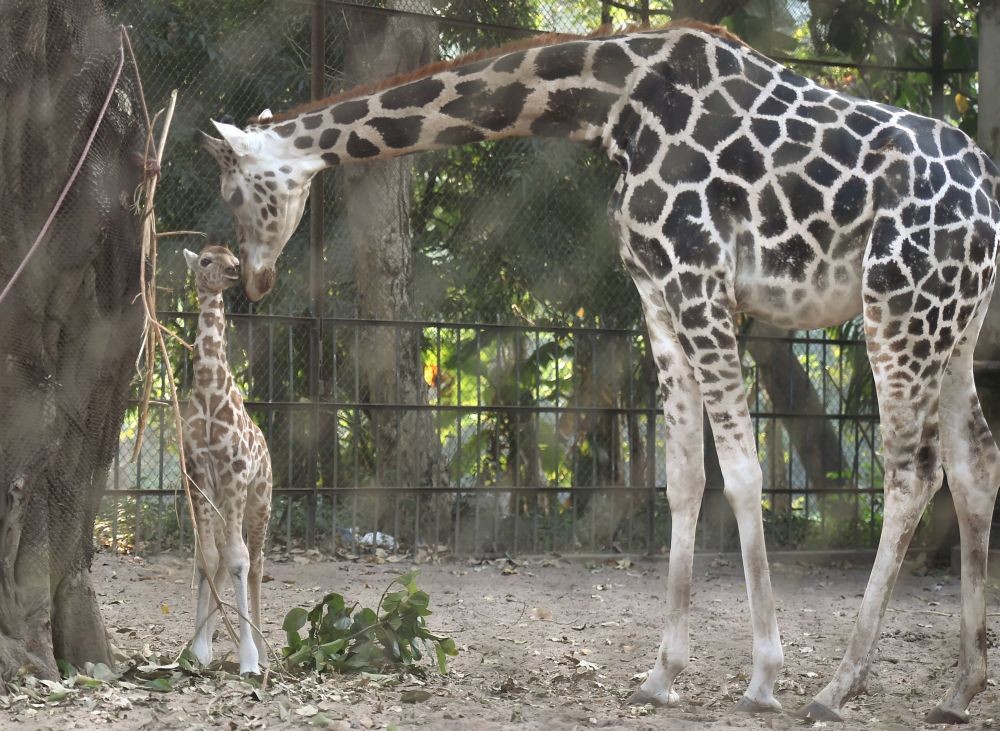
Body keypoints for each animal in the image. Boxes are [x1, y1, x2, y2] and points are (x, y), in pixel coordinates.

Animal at [199, 21, 1000, 721]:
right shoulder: (654, 289)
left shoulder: (697, 275)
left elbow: (742, 472)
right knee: (974, 464)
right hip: (954, 324)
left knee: (912, 473)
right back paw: (960, 689)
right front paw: (663, 674)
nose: (258, 280)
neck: (611, 105)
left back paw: (837, 687)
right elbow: (683, 476)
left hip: (899, 306)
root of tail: (990, 199)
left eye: (236, 191)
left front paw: (765, 676)